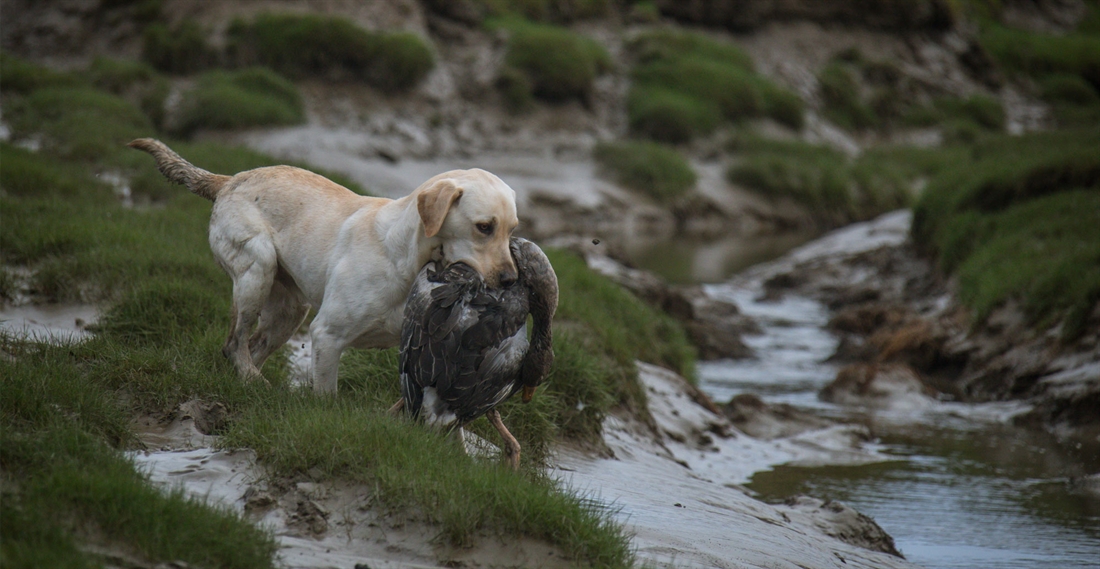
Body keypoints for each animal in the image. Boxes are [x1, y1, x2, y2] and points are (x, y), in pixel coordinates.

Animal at [129, 139, 519, 391]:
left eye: (513, 229)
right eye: (484, 227)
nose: (511, 280)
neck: (404, 257)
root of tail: (231, 180)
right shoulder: (327, 336)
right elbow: (326, 397)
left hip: (289, 309)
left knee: (250, 347)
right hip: (257, 268)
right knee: (234, 343)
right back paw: (253, 380)